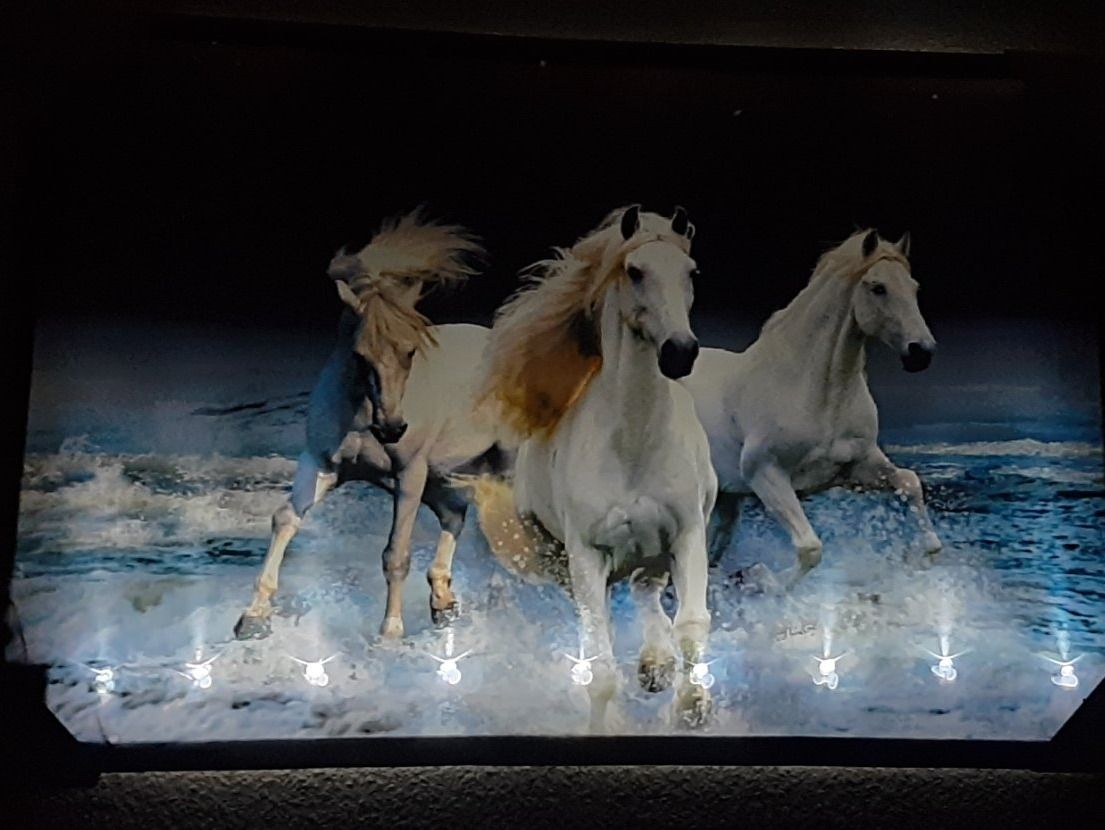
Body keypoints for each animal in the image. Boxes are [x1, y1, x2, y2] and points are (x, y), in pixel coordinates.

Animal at [234, 208, 507, 641]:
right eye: (360, 354)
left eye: (410, 351)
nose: (392, 428)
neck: (362, 417)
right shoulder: (322, 465)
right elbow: (285, 519)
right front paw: (253, 617)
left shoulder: (409, 473)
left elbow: (397, 552)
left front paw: (390, 633)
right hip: (441, 477)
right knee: (456, 515)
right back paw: (443, 602)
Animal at [466, 205, 717, 732]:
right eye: (635, 271)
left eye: (692, 272)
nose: (680, 352)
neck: (633, 446)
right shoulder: (587, 554)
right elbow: (598, 659)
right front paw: (607, 726)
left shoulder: (687, 534)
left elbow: (690, 624)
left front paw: (692, 706)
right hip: (563, 558)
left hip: (653, 551)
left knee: (648, 595)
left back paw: (656, 666)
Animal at [681, 228, 942, 590]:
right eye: (878, 287)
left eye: (914, 287)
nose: (921, 352)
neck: (817, 394)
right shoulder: (766, 474)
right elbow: (810, 549)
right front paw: (763, 579)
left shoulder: (858, 466)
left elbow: (909, 482)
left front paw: (919, 555)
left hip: (725, 499)